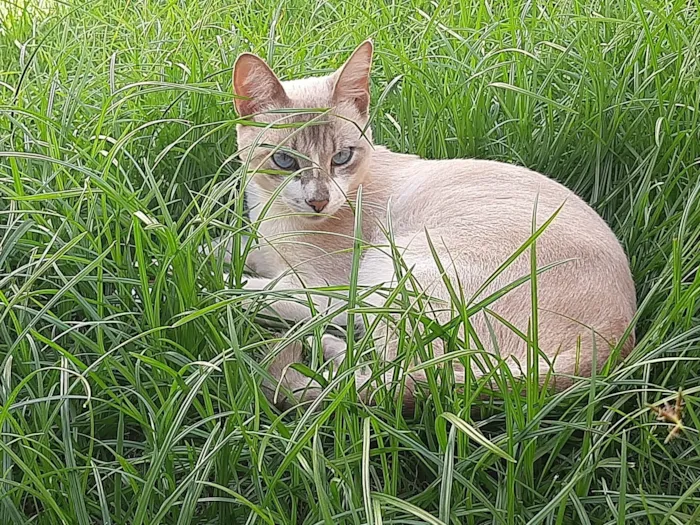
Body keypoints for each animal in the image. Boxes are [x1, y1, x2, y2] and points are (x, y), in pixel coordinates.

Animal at [228, 41, 636, 410]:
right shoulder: (269, 250)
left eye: (341, 157)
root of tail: (613, 342)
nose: (319, 201)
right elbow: (234, 249)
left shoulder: (321, 285)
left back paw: (316, 347)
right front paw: (219, 254)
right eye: (284, 161)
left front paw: (226, 285)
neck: (276, 213)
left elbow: (252, 290)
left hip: (393, 270)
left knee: (401, 372)